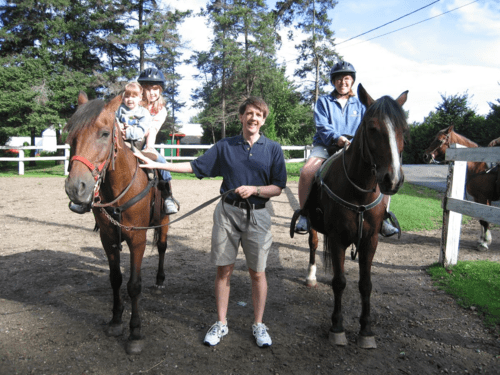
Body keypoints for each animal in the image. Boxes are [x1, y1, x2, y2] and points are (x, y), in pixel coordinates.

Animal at [64, 92, 169, 356]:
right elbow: (116, 279)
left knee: (162, 247)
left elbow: (134, 285)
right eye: (71, 137)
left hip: (164, 221)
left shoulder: (137, 239)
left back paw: (160, 281)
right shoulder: (109, 238)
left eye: (104, 133)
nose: (75, 188)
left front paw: (135, 332)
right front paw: (115, 320)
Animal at [292, 85, 406, 350]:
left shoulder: (370, 240)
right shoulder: (337, 239)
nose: (393, 179)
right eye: (372, 128)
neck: (359, 193)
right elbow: (340, 282)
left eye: (403, 129)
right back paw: (311, 276)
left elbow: (365, 284)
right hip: (314, 225)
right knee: (313, 245)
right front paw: (337, 327)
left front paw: (366, 330)